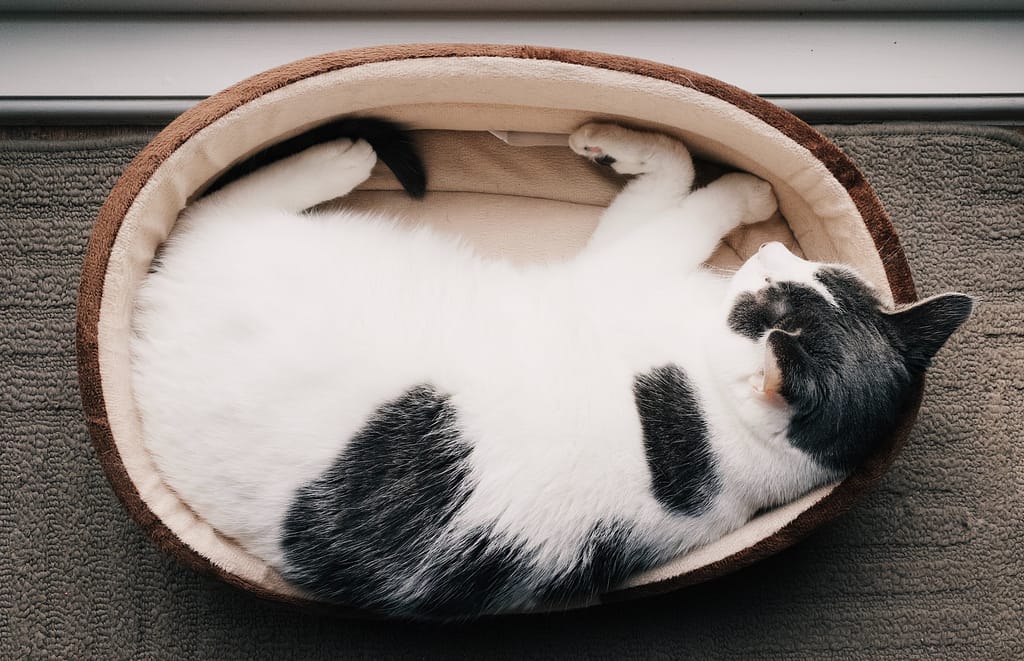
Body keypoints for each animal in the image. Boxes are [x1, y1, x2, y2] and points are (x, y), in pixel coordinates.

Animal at [132, 119, 970, 622]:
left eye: (768, 301)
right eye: (807, 277)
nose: (770, 250)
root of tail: (143, 329)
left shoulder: (619, 266)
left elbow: (687, 201)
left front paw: (738, 187)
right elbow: (677, 170)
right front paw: (635, 148)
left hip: (253, 240)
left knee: (208, 203)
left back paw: (334, 158)